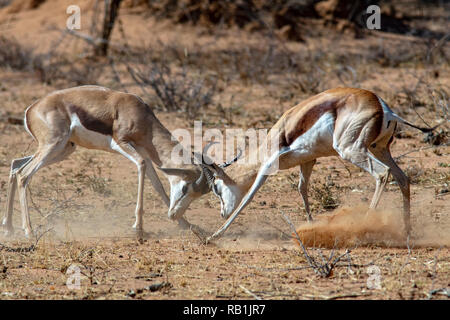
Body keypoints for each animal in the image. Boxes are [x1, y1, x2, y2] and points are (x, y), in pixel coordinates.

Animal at [2, 85, 236, 238]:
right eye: (186, 188)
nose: (174, 214)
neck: (140, 115)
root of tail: (31, 109)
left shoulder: (146, 153)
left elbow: (158, 185)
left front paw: (187, 225)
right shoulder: (123, 144)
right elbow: (141, 166)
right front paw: (138, 228)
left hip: (63, 149)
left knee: (14, 165)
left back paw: (8, 227)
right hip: (53, 146)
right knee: (23, 175)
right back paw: (28, 231)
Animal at [204, 86, 436, 241]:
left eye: (215, 187)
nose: (222, 213)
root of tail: (383, 107)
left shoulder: (268, 165)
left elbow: (248, 198)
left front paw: (215, 235)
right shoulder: (308, 160)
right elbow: (302, 188)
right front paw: (310, 225)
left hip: (350, 149)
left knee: (381, 173)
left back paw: (365, 226)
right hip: (379, 149)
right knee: (402, 178)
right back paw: (406, 232)